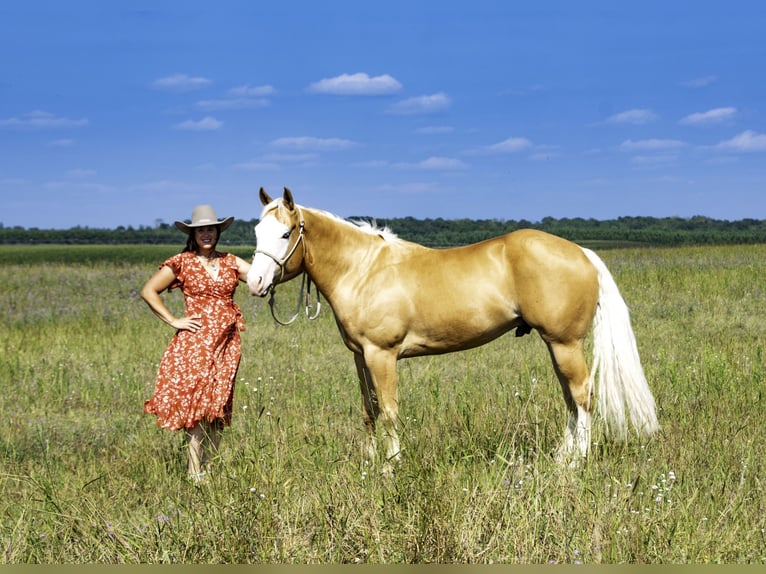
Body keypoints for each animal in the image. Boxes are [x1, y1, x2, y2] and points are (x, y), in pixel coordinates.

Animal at [246, 189, 660, 472]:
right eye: (257, 231)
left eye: (285, 234)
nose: (254, 282)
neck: (364, 270)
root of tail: (582, 252)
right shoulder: (360, 356)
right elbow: (370, 409)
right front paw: (369, 461)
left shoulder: (382, 354)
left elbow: (390, 411)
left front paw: (391, 466)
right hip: (557, 346)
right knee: (571, 398)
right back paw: (563, 456)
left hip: (565, 343)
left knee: (582, 394)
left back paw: (575, 463)